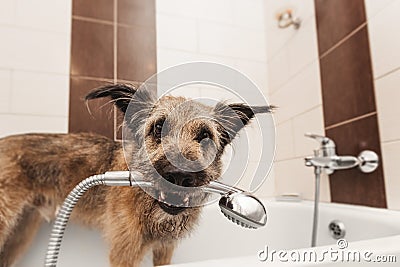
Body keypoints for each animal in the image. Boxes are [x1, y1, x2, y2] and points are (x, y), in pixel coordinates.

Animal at [0, 84, 272, 267]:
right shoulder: (125, 252)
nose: (179, 176)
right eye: (159, 127)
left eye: (204, 136)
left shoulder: (165, 250)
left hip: (21, 232)